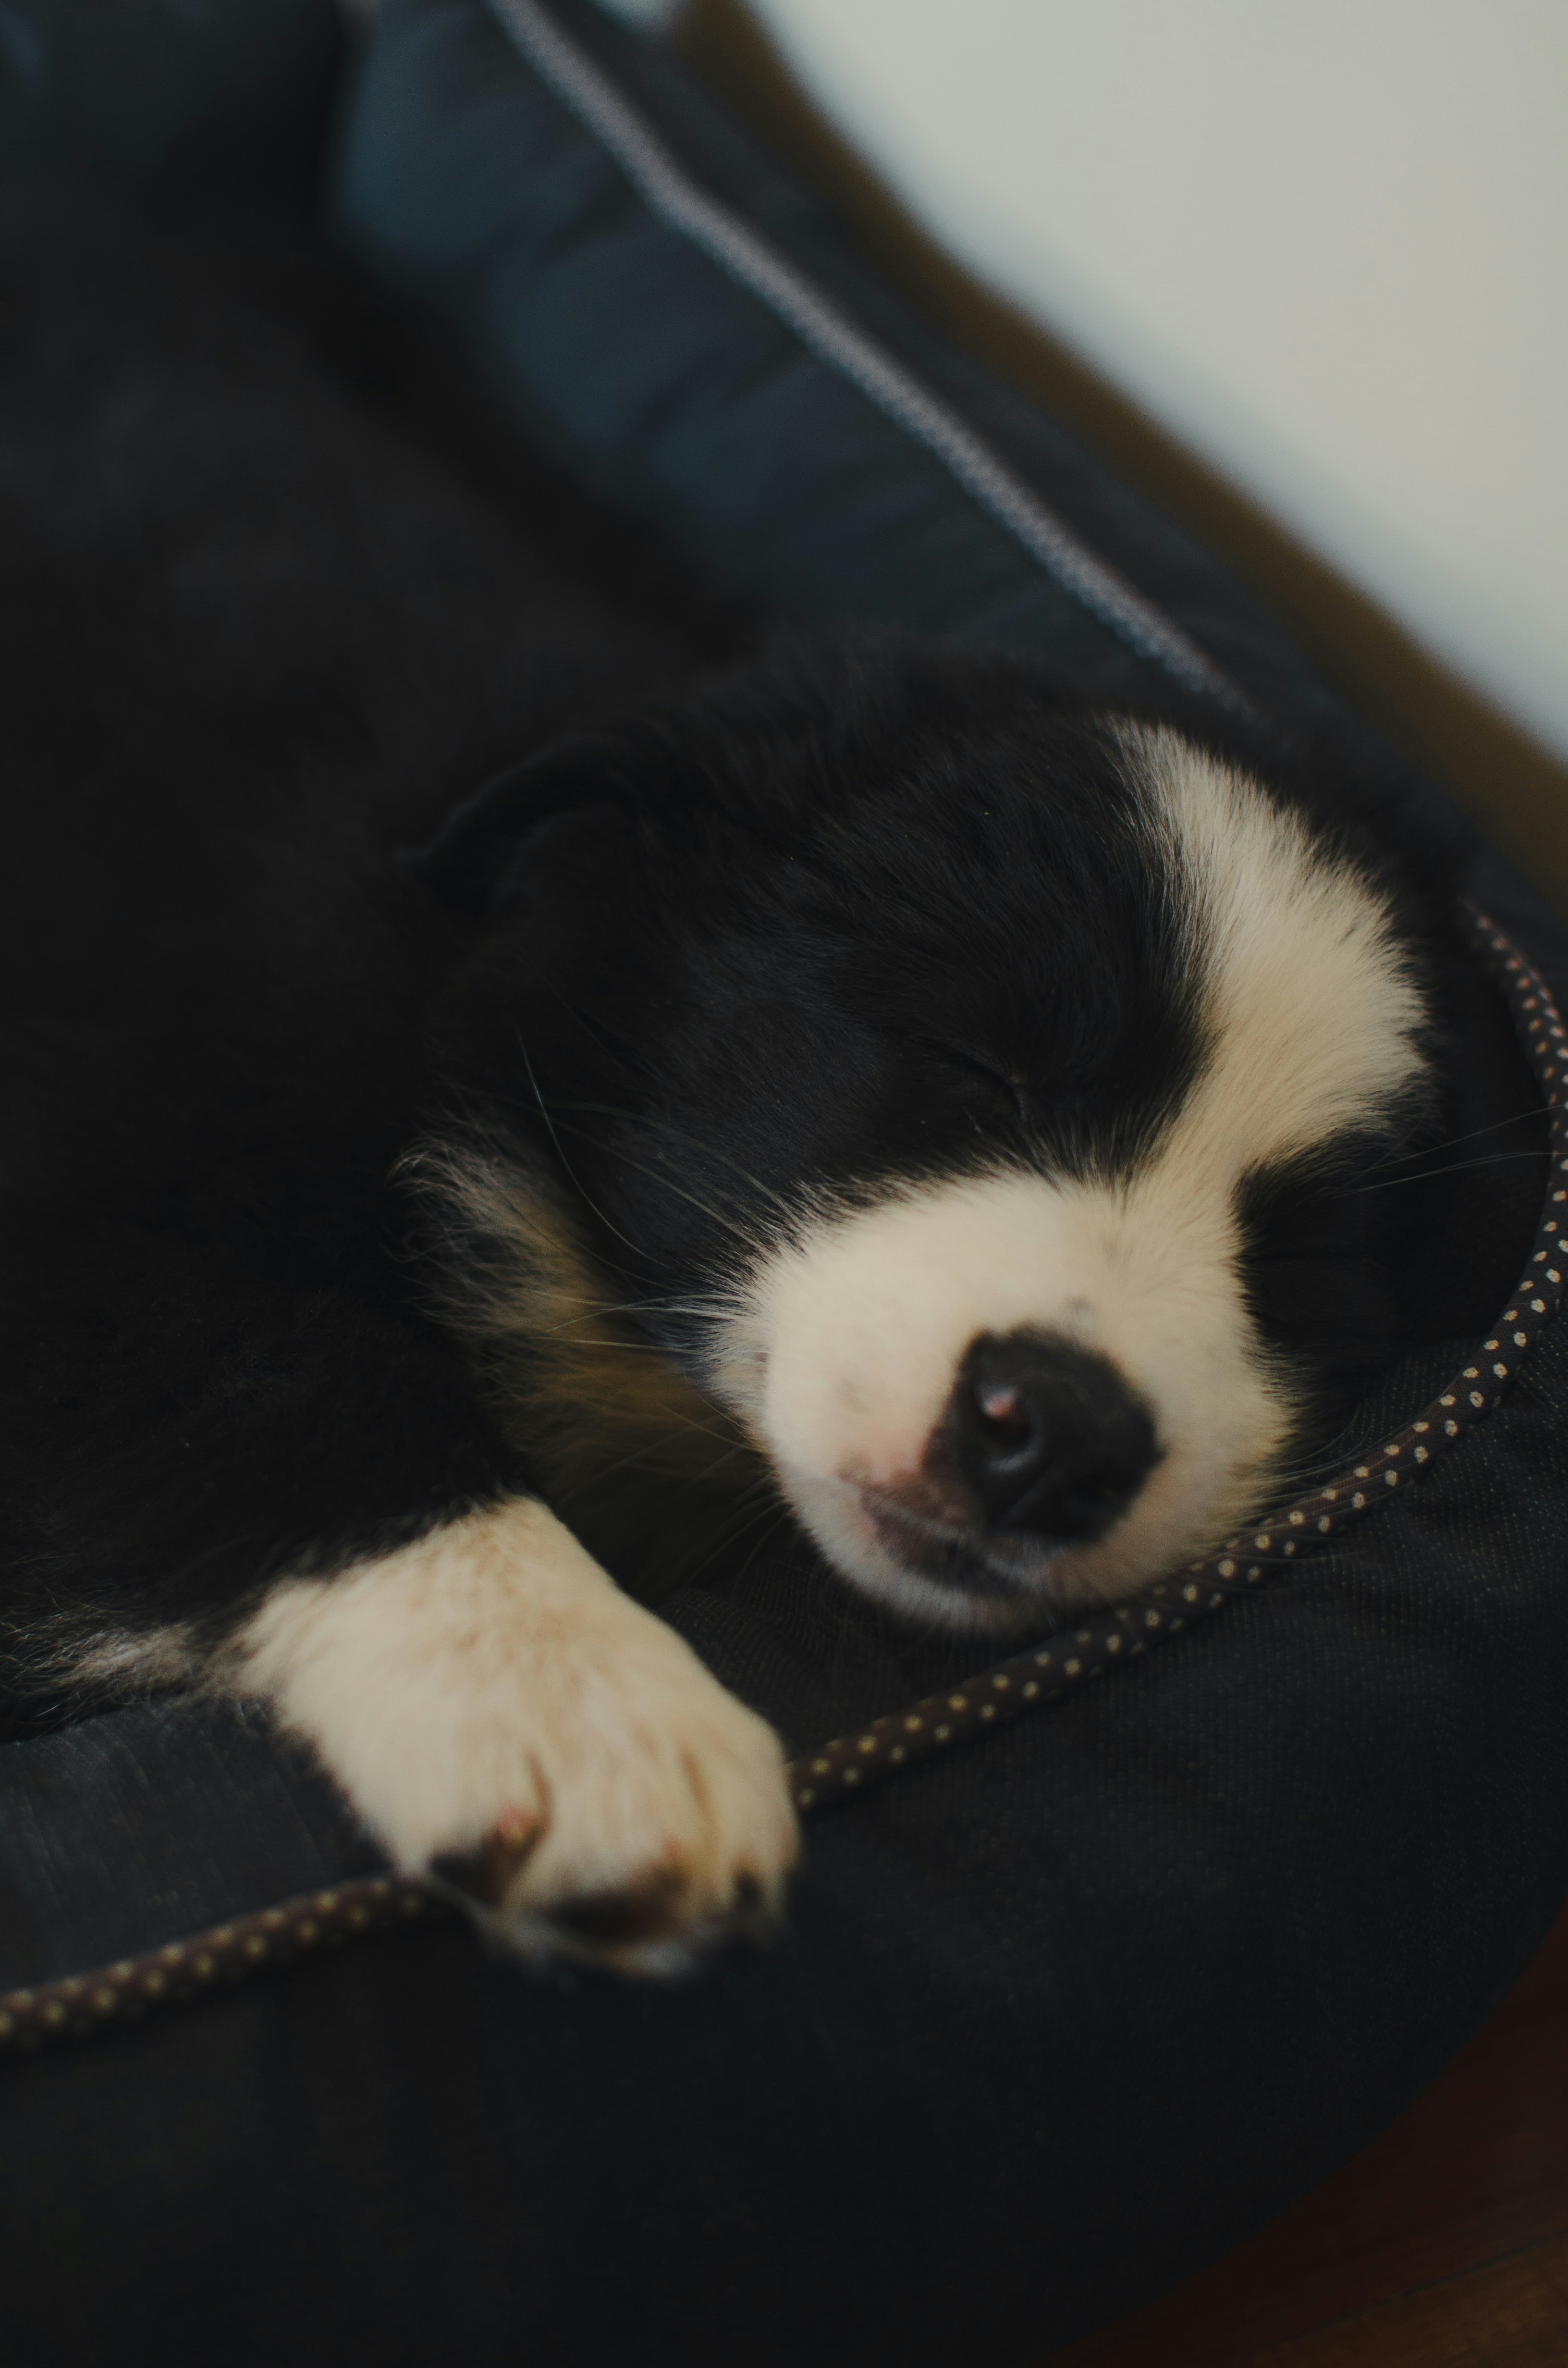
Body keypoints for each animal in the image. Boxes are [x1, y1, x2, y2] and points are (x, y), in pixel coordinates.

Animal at [0, 189, 1544, 1961]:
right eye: (976, 1063)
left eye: (1298, 1261)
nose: (1057, 1434)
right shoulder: (89, 1161)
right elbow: (290, 1369)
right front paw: (579, 1708)